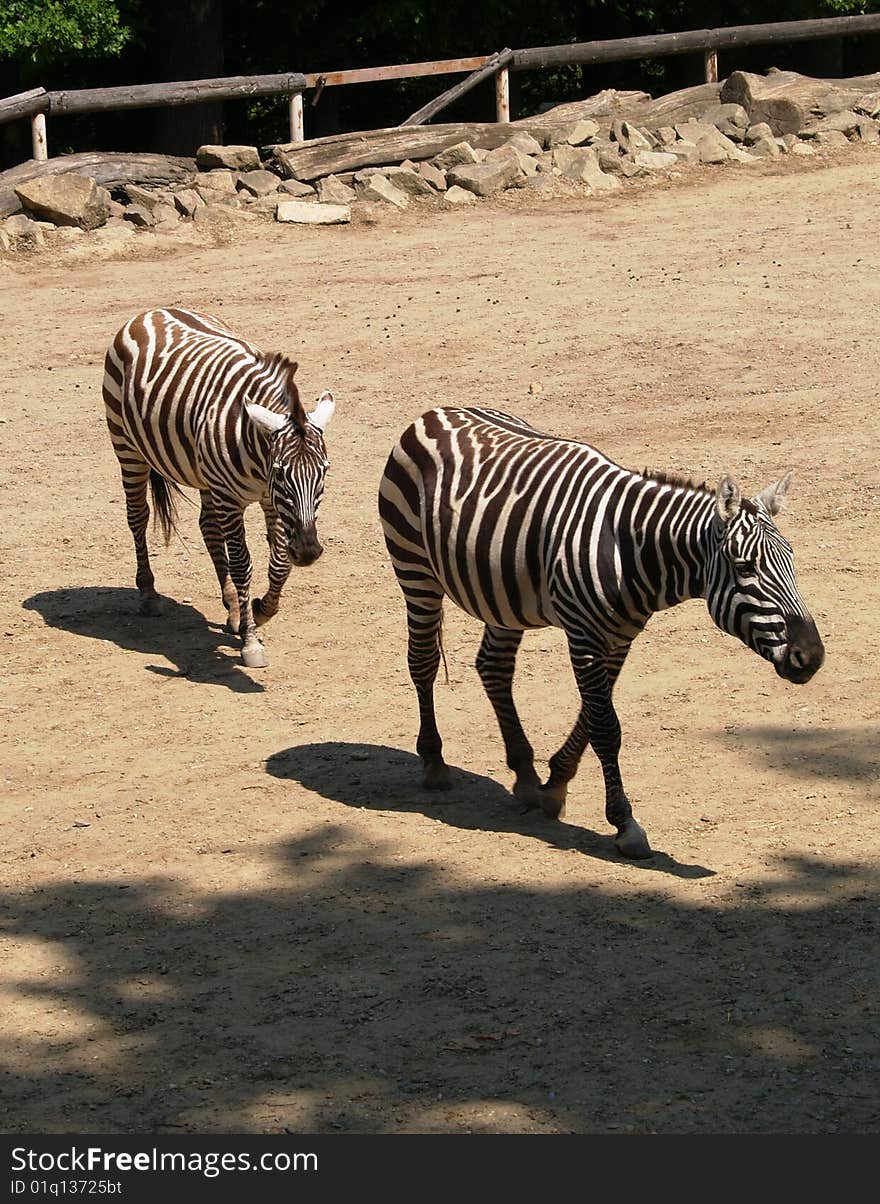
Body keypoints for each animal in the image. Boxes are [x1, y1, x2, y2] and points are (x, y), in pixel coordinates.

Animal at [103, 308, 334, 669]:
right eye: (281, 473)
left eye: (324, 471)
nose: (309, 552)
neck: (256, 450)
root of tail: (151, 312)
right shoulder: (233, 497)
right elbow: (242, 564)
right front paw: (251, 641)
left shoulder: (269, 500)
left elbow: (280, 560)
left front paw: (259, 610)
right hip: (126, 446)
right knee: (138, 517)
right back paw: (149, 594)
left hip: (204, 473)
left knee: (208, 527)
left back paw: (233, 608)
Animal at [378, 409, 828, 862]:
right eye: (745, 566)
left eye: (791, 559)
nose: (811, 656)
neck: (633, 553)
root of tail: (438, 412)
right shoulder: (585, 637)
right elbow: (606, 727)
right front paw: (625, 824)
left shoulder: (619, 637)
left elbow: (593, 714)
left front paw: (555, 784)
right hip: (415, 571)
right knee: (422, 661)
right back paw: (434, 762)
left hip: (503, 595)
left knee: (494, 667)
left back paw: (524, 772)